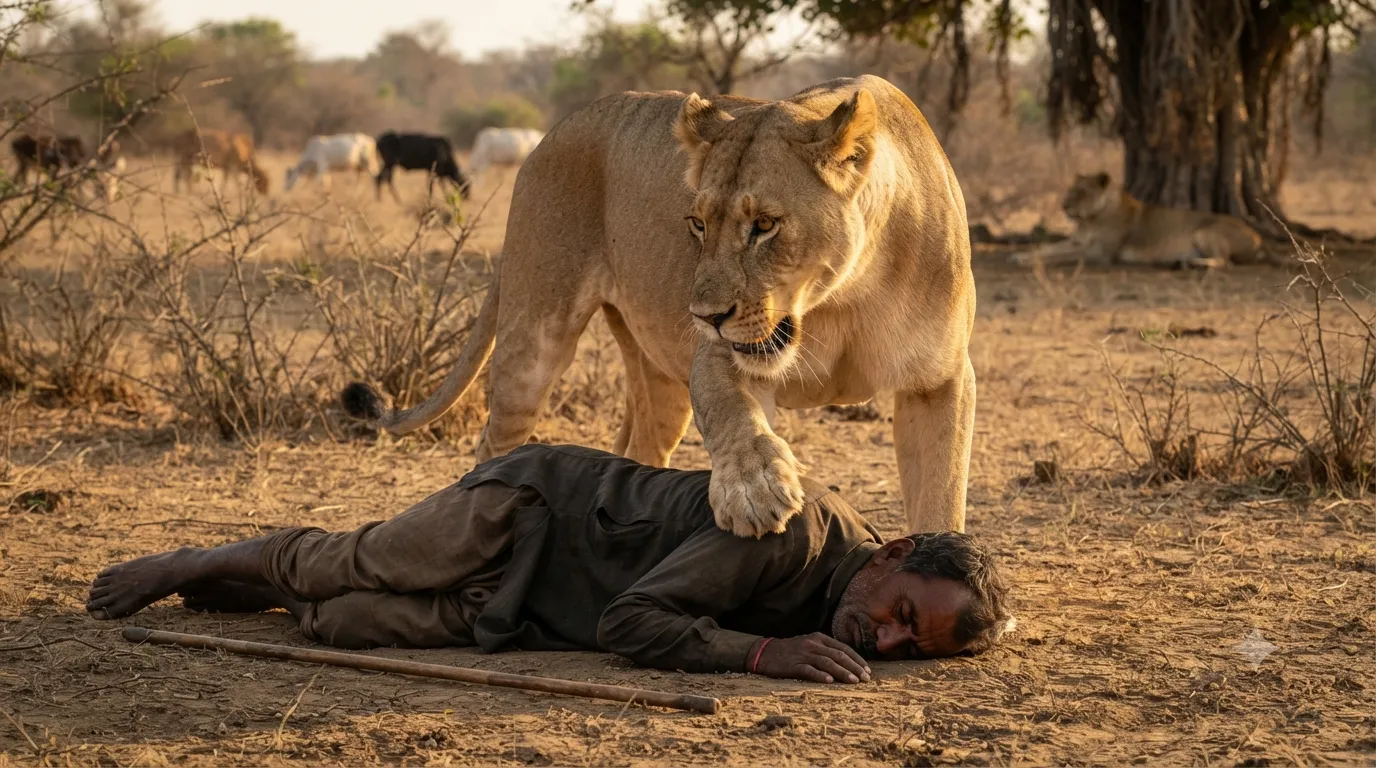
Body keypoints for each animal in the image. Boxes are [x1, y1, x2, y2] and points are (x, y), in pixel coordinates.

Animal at [342, 75, 977, 538]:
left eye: (764, 226)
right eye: (697, 223)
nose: (704, 316)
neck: (847, 291)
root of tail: (551, 132)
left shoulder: (940, 380)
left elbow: (941, 492)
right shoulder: (721, 357)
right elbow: (733, 415)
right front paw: (755, 488)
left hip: (654, 376)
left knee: (636, 450)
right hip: (533, 342)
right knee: (494, 445)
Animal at [1011, 172, 1278, 269]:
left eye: (1083, 192)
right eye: (1070, 190)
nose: (1064, 206)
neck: (1089, 221)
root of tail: (1260, 238)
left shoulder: (1100, 253)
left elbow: (1059, 256)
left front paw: (1029, 261)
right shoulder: (1077, 241)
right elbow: (1048, 248)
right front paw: (1023, 256)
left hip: (1204, 231)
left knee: (1224, 262)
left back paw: (1194, 264)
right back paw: (1179, 261)